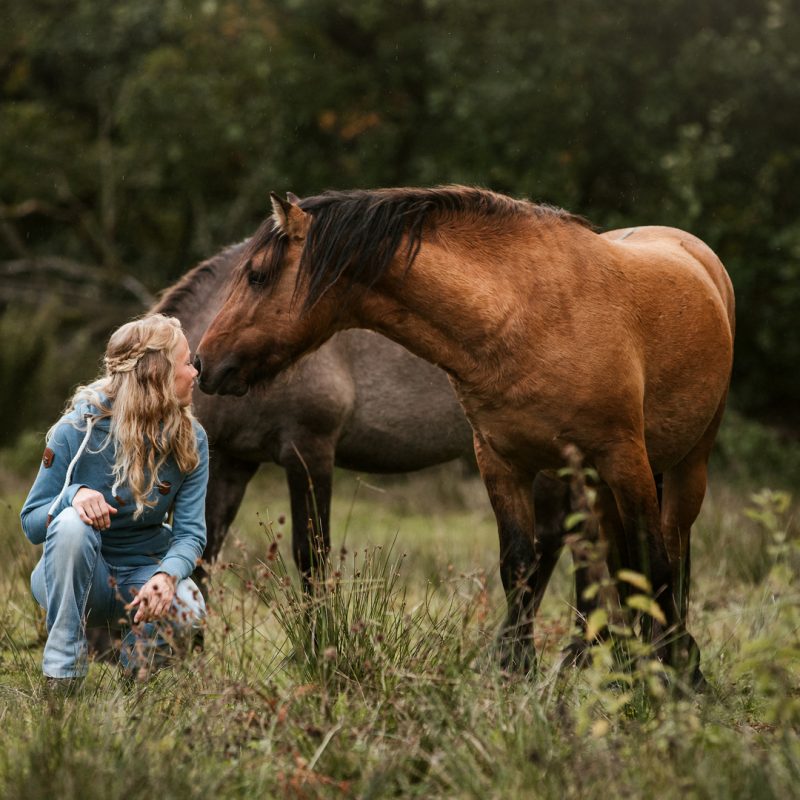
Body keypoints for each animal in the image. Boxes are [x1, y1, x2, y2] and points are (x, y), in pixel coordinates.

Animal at [197, 186, 736, 680]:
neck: (528, 316)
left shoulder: (624, 459)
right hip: (594, 485)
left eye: (257, 275)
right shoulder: (501, 462)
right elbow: (519, 565)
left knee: (669, 545)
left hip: (681, 465)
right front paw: (516, 673)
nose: (203, 362)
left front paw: (678, 674)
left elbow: (656, 564)